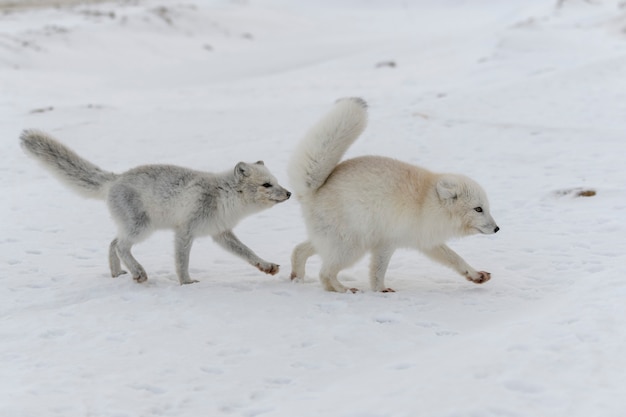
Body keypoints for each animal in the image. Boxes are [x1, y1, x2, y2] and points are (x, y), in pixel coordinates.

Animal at [20, 130, 290, 284]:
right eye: (267, 185)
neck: (224, 197)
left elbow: (248, 253)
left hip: (132, 226)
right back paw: (139, 273)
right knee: (120, 246)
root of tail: (116, 178)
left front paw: (266, 266)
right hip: (142, 227)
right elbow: (182, 261)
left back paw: (118, 274)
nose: (288, 193)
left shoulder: (220, 233)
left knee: (112, 244)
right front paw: (186, 283)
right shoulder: (185, 231)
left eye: (277, 181)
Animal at [288, 98, 498, 292]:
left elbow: (455, 258)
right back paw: (344, 289)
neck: (426, 203)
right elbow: (378, 271)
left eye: (487, 208)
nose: (497, 229)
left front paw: (476, 275)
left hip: (333, 242)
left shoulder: (425, 240)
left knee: (300, 250)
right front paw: (381, 290)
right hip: (352, 247)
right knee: (325, 273)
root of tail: (313, 190)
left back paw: (298, 278)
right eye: (478, 209)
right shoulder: (387, 242)